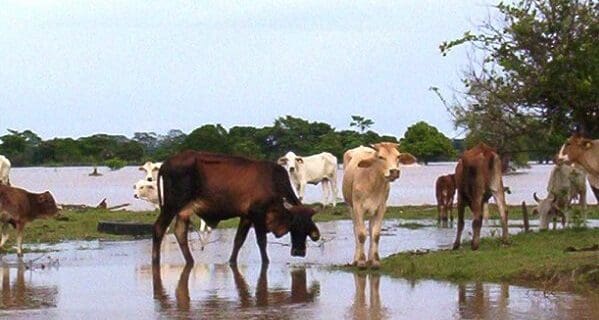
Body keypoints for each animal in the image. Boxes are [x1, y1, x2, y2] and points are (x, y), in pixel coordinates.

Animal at [154, 151, 324, 266]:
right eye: (295, 225)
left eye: (307, 227)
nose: (299, 252)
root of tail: (165, 164)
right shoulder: (258, 214)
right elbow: (261, 241)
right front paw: (266, 262)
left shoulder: (246, 216)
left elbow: (238, 241)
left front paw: (231, 262)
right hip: (171, 206)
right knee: (159, 229)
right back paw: (156, 261)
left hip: (184, 211)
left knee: (180, 232)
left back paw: (190, 261)